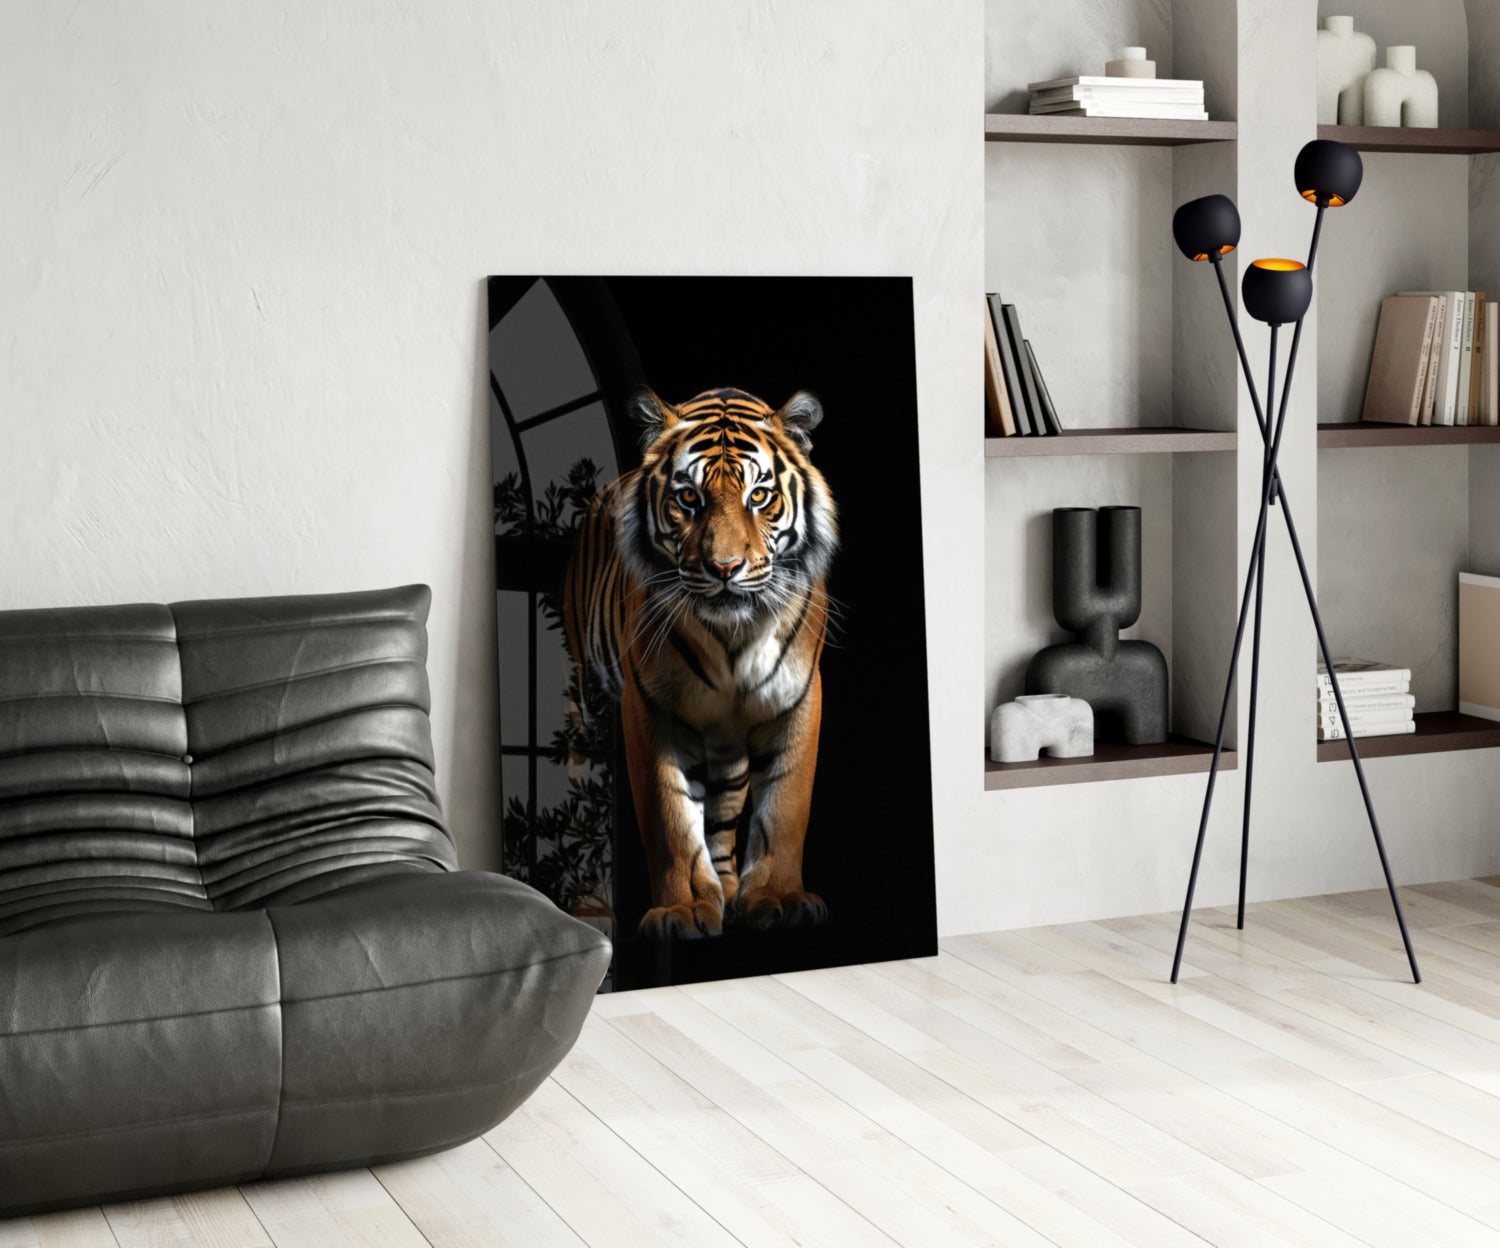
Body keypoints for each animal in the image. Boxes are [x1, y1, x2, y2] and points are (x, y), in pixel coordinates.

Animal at [562, 386, 838, 940]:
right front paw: (684, 909)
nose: (724, 568)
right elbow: (669, 815)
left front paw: (779, 899)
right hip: (590, 704)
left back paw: (729, 891)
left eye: (759, 496)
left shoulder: (798, 696)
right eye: (689, 498)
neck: (735, 636)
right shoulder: (649, 706)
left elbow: (785, 807)